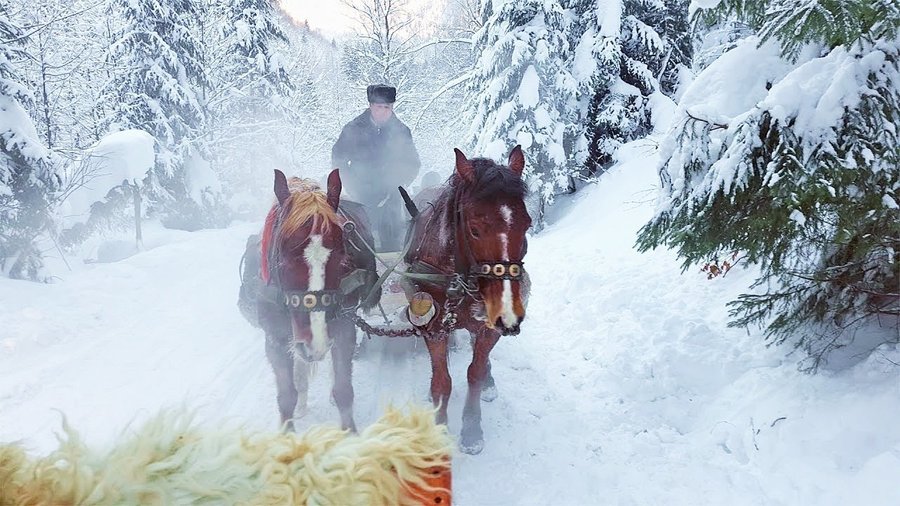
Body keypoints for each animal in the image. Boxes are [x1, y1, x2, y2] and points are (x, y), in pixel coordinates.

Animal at [241, 169, 378, 430]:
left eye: (342, 259)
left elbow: (343, 389)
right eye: (282, 261)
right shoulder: (276, 337)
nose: (316, 344)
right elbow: (286, 395)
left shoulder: (343, 327)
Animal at [404, 146, 532, 454]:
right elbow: (442, 381)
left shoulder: (487, 326)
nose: (507, 314)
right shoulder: (434, 326)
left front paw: (472, 430)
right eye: (474, 229)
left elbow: (474, 372)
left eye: (527, 225)